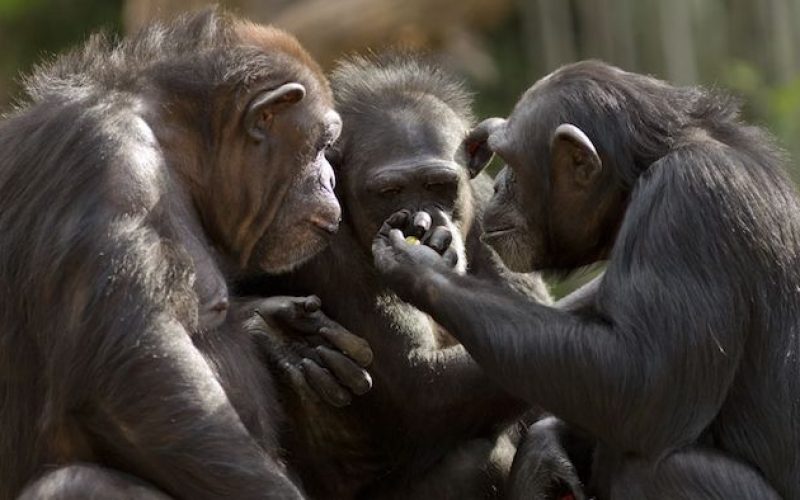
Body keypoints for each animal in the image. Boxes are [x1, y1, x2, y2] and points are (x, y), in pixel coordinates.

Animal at [0, 8, 372, 500]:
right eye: (322, 145)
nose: (329, 178)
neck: (173, 145)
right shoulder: (107, 164)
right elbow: (140, 380)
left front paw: (279, 333)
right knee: (78, 481)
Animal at [241, 54, 552, 500]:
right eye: (389, 192)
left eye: (439, 185)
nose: (422, 220)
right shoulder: (321, 249)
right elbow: (417, 383)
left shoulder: (489, 209)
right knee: (477, 461)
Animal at [372, 59, 796, 500]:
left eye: (511, 162)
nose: (500, 183)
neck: (641, 174)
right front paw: (545, 453)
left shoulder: (688, 201)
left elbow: (646, 380)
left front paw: (419, 264)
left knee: (658, 468)